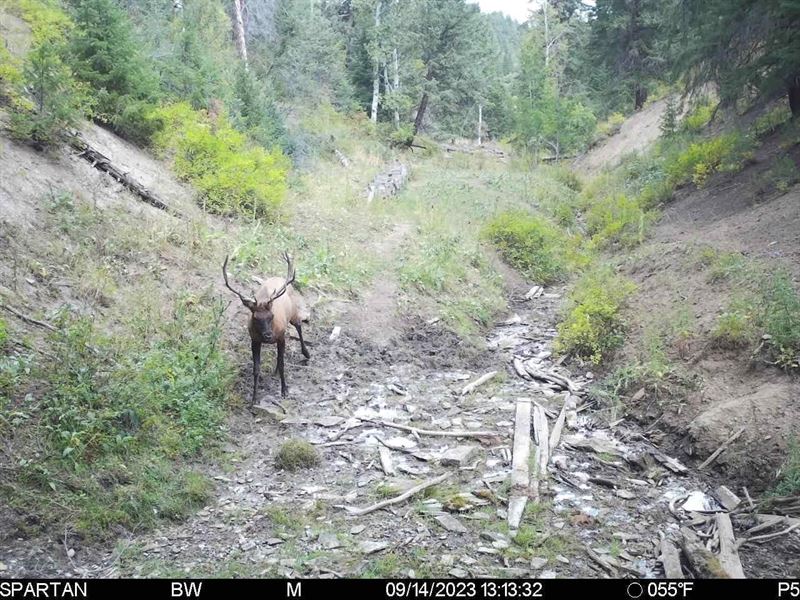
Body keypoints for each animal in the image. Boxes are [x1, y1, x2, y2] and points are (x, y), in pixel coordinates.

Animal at [227, 251, 314, 406]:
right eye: (255, 318)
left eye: (271, 316)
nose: (268, 335)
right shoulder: (255, 340)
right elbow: (256, 369)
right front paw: (254, 398)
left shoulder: (281, 336)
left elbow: (283, 363)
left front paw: (284, 390)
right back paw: (275, 371)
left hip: (293, 313)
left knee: (299, 325)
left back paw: (306, 353)